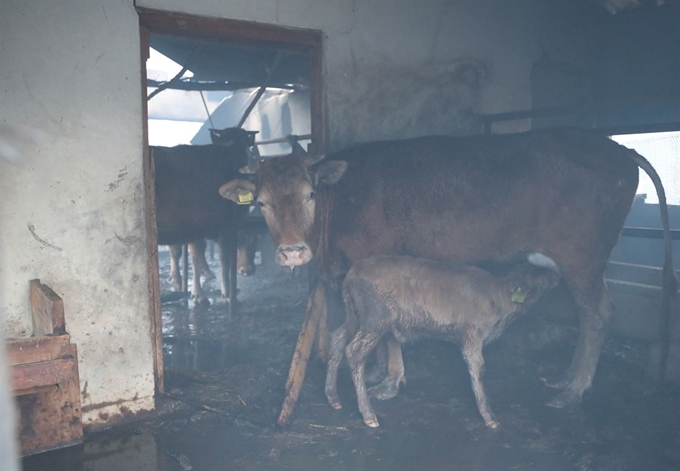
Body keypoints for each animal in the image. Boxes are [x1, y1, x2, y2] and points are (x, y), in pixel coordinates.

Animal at [326, 256, 560, 430]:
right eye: (541, 277)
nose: (557, 277)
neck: (500, 297)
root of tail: (353, 272)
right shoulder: (472, 334)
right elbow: (479, 369)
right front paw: (489, 416)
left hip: (355, 315)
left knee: (337, 339)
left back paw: (333, 397)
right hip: (376, 319)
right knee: (354, 352)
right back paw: (368, 414)